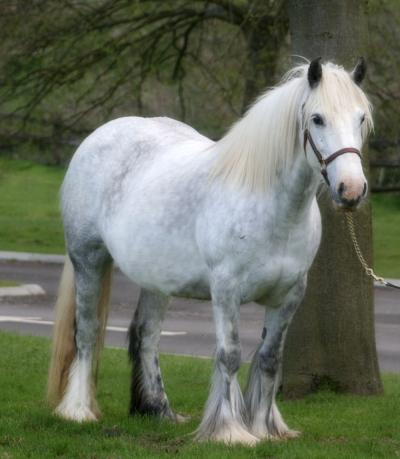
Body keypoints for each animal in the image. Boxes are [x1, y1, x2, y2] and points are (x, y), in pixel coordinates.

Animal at [47, 59, 372, 448]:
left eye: (361, 119)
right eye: (318, 119)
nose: (350, 190)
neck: (270, 204)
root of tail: (97, 137)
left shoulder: (290, 295)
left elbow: (269, 358)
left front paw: (264, 427)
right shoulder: (226, 290)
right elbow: (229, 355)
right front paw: (230, 431)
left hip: (156, 280)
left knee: (146, 335)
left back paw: (159, 410)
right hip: (88, 260)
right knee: (87, 330)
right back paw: (79, 409)